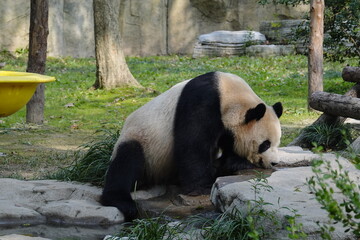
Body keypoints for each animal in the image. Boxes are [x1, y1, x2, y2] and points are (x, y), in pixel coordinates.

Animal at [100, 71, 282, 221]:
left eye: (277, 142)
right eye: (265, 144)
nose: (274, 162)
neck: (227, 92)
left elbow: (227, 144)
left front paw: (234, 163)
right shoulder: (202, 103)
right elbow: (193, 145)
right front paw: (203, 187)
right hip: (142, 140)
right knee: (127, 161)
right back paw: (122, 202)